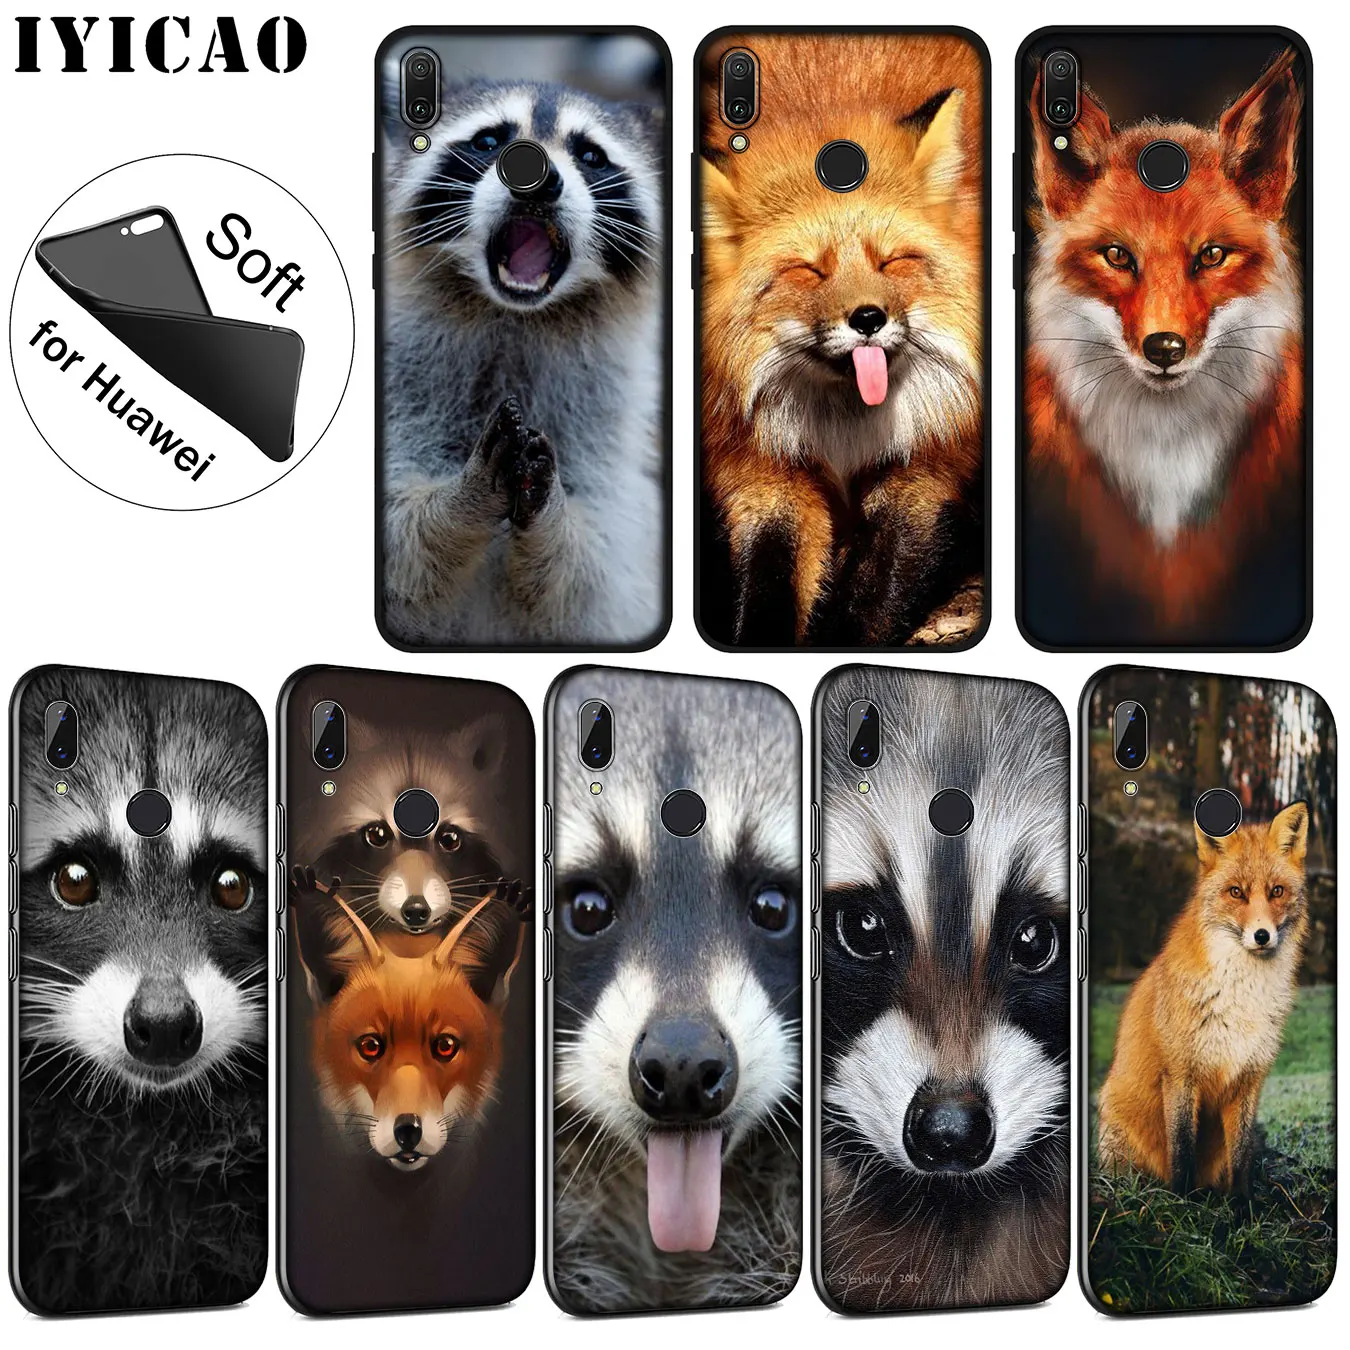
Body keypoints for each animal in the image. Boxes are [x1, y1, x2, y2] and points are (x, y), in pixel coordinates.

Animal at [381, 79, 665, 647]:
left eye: (590, 156)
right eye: (489, 141)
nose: (538, 183)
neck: (515, 316)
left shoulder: (610, 438)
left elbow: (595, 567)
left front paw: (555, 516)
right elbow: (400, 532)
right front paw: (457, 503)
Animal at [700, 34, 984, 646]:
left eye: (892, 261)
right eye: (808, 271)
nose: (869, 318)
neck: (846, 428)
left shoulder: (929, 464)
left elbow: (877, 592)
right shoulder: (760, 470)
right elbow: (771, 576)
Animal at [1097, 802, 1309, 1195]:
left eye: (1276, 891)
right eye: (1236, 892)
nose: (1262, 936)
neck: (1242, 997)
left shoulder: (1249, 1078)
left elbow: (1241, 1156)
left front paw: (1243, 1203)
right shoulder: (1181, 1073)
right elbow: (1182, 1149)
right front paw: (1182, 1199)